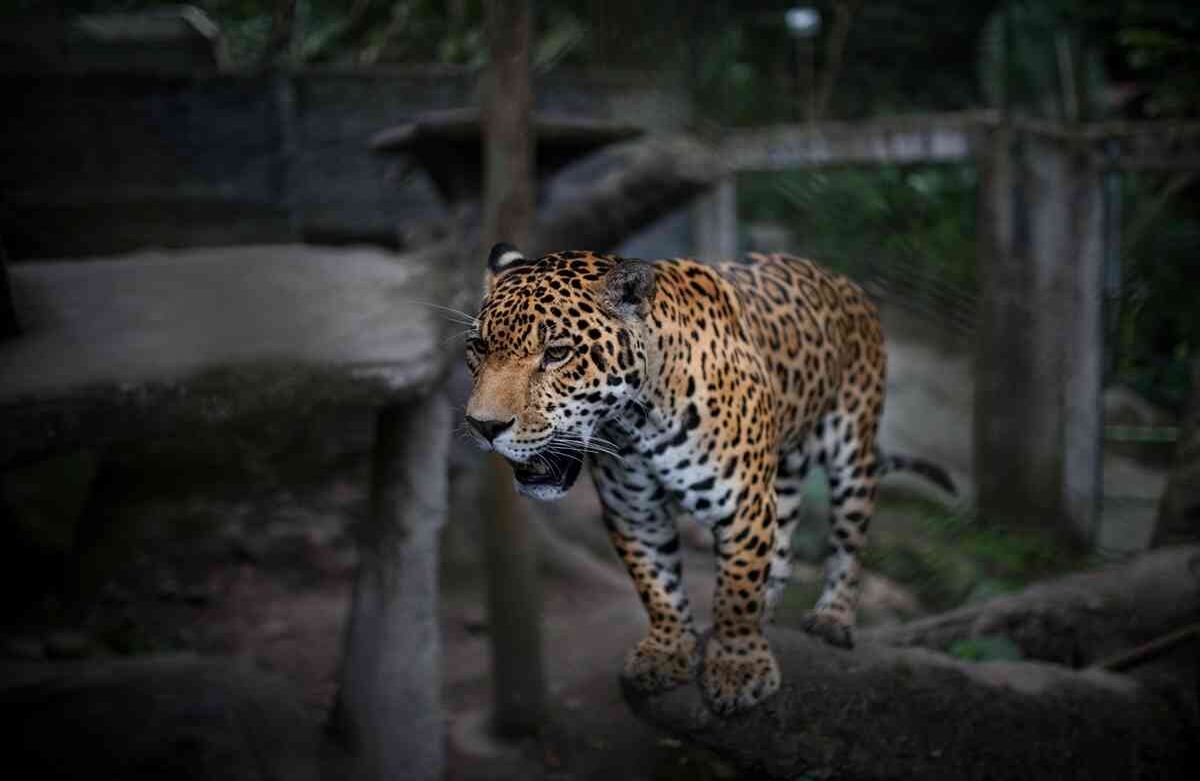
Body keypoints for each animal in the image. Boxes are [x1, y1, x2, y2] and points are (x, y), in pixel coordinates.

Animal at [463, 243, 955, 715]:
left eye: (557, 354)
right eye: (478, 348)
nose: (483, 426)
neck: (636, 424)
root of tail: (844, 282)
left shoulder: (743, 504)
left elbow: (736, 590)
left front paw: (739, 667)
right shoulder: (635, 512)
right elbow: (656, 585)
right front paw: (667, 651)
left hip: (852, 452)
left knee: (849, 543)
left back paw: (832, 619)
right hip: (782, 474)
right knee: (783, 546)